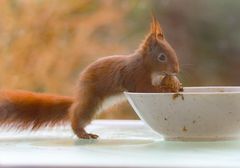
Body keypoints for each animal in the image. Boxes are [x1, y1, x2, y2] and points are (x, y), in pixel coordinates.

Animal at [0, 15, 180, 139]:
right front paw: (167, 89)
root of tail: (78, 97)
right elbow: (146, 89)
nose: (176, 70)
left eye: (173, 50)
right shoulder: (135, 75)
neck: (150, 68)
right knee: (75, 115)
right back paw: (83, 133)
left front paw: (175, 83)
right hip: (90, 103)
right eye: (162, 57)